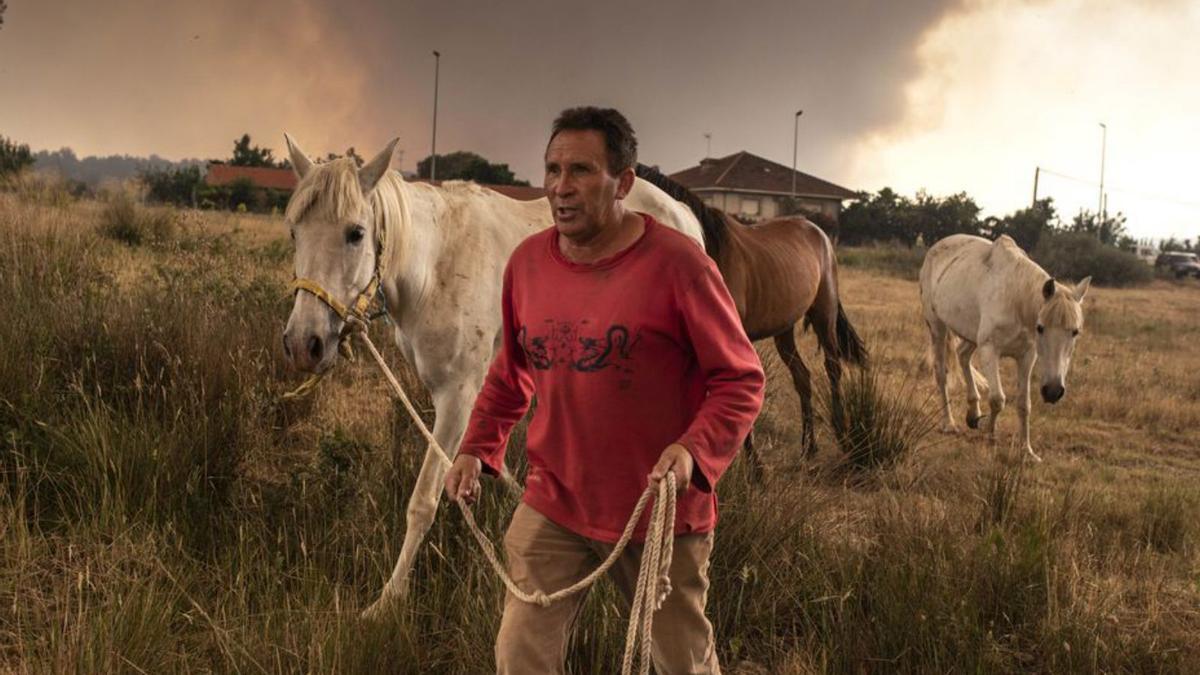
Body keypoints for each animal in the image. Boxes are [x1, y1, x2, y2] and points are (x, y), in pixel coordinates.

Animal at [278, 133, 700, 612]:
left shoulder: (458, 395)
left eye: (355, 233)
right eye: (294, 231)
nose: (303, 342)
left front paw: (388, 600)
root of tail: (681, 212)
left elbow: (423, 500)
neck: (433, 266)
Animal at [638, 165, 864, 466]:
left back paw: (843, 438)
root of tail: (820, 234)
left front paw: (754, 465)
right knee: (802, 377)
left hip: (823, 313)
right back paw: (809, 447)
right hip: (784, 329)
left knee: (833, 367)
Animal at [916, 234, 1089, 458]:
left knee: (962, 355)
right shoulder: (990, 350)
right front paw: (990, 435)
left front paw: (1027, 450)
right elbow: (998, 399)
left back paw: (973, 414)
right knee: (941, 374)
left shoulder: (1026, 356)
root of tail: (935, 248)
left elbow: (1024, 404)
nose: (1053, 391)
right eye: (1040, 328)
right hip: (937, 327)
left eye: (1075, 331)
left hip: (972, 335)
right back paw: (949, 424)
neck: (1015, 298)